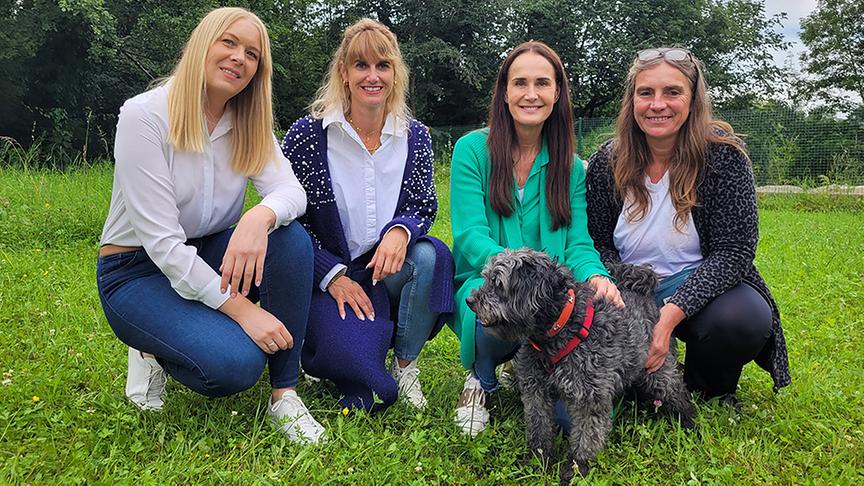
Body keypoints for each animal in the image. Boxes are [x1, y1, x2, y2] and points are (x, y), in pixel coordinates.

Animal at [466, 249, 696, 484]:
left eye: (498, 283)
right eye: (486, 278)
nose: (470, 300)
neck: (557, 332)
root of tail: (644, 292)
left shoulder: (589, 399)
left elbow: (587, 438)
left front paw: (576, 470)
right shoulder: (535, 391)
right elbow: (539, 428)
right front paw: (537, 461)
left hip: (658, 372)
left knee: (677, 392)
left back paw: (691, 423)